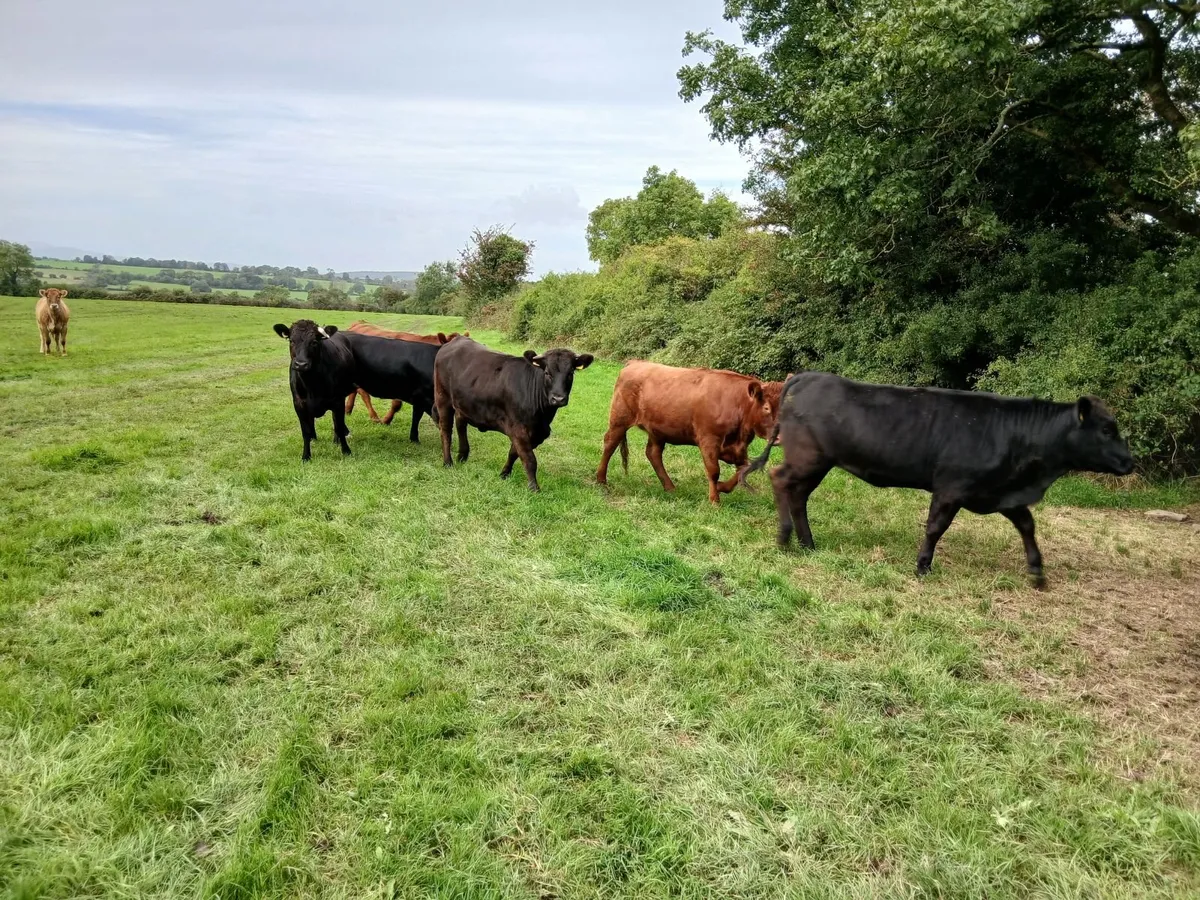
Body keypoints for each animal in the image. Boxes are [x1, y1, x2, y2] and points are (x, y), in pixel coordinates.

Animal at [273, 319, 441, 460]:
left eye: (314, 342)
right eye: (291, 341)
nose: (301, 364)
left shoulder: (337, 400)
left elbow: (417, 417)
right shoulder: (299, 403)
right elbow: (306, 432)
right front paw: (306, 457)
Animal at [433, 337, 593, 491]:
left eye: (571, 373)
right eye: (547, 373)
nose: (558, 398)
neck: (542, 418)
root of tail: (455, 340)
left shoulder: (533, 433)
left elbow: (513, 453)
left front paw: (504, 474)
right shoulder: (518, 429)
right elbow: (529, 459)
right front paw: (534, 489)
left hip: (463, 404)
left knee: (461, 424)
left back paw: (462, 456)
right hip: (443, 398)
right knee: (446, 430)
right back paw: (448, 462)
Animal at [595, 361, 786, 504]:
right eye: (766, 407)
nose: (779, 437)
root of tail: (635, 363)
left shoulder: (740, 448)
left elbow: (744, 469)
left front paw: (721, 487)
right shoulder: (709, 439)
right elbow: (714, 470)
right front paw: (714, 500)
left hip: (657, 430)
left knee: (653, 453)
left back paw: (670, 487)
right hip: (619, 419)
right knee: (610, 443)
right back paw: (601, 480)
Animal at [741, 372, 1136, 586]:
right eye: (1106, 429)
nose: (1130, 462)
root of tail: (807, 376)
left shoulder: (999, 492)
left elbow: (1026, 524)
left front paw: (1037, 572)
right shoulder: (951, 487)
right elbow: (935, 527)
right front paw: (923, 565)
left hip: (819, 463)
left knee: (798, 495)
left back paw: (807, 542)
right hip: (808, 458)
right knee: (780, 481)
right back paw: (785, 537)